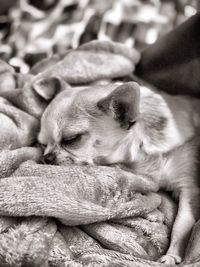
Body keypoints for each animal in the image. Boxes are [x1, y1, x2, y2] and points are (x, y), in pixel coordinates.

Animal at [38, 80, 200, 266]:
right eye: (42, 144)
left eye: (71, 140)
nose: (46, 158)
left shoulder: (188, 187)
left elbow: (182, 223)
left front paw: (172, 254)